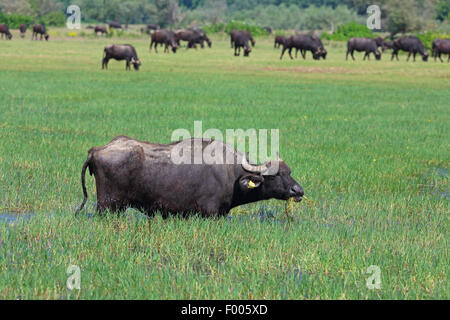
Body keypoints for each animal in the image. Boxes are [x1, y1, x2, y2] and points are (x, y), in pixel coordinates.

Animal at [75, 135, 304, 218]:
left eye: (289, 172)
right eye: (275, 175)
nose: (298, 191)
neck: (231, 172)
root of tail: (96, 150)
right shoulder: (210, 214)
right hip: (108, 206)